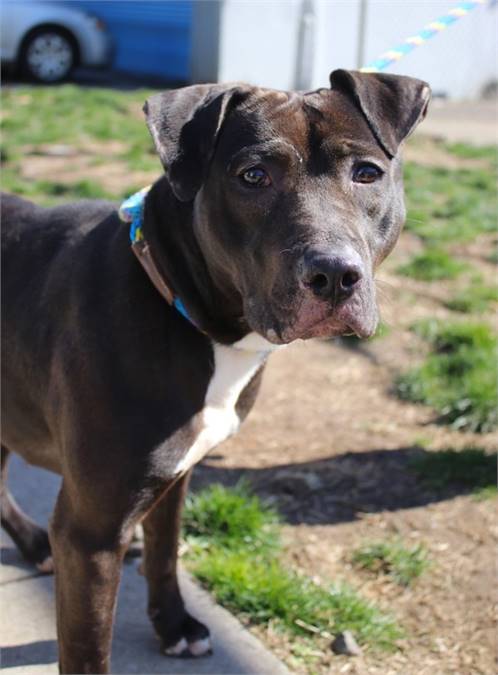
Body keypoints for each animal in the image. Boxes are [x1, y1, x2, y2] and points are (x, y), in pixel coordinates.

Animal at [0, 71, 430, 672]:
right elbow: (88, 648)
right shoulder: (90, 533)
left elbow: (164, 553)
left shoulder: (176, 475)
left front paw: (173, 624)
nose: (334, 274)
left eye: (367, 173)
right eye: (254, 176)